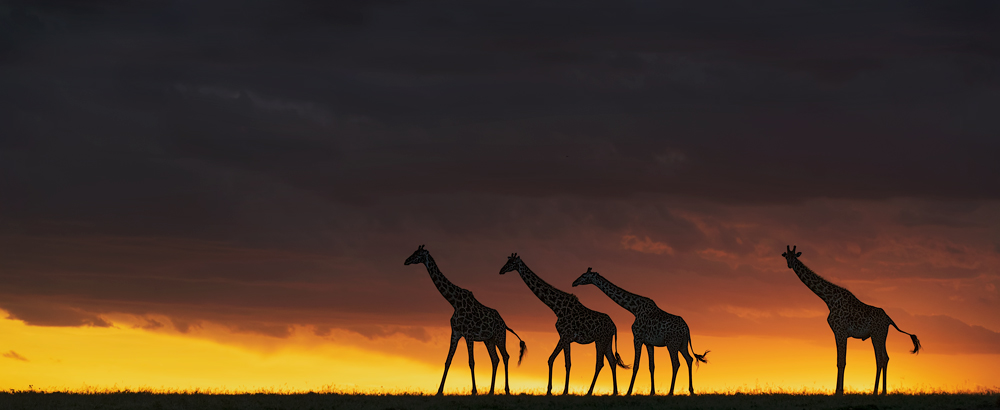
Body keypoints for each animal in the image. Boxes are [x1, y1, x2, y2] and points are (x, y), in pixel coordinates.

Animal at [404, 245, 527, 396]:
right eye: (414, 252)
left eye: (419, 254)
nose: (406, 261)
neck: (454, 302)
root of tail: (505, 324)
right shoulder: (455, 333)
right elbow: (448, 361)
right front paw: (439, 391)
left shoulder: (468, 334)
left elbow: (471, 361)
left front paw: (474, 390)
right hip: (489, 340)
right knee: (495, 359)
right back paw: (491, 391)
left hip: (499, 336)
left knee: (505, 356)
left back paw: (507, 390)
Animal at [499, 253, 629, 396]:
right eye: (507, 261)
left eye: (512, 263)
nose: (501, 271)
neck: (557, 308)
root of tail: (614, 326)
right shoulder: (565, 337)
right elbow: (559, 361)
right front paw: (555, 390)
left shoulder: (565, 336)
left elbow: (560, 361)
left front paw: (559, 390)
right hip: (607, 341)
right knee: (612, 361)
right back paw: (615, 392)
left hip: (601, 340)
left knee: (600, 363)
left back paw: (590, 392)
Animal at [572, 267, 709, 396]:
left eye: (584, 276)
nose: (574, 282)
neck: (634, 309)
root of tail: (687, 329)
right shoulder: (649, 343)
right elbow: (651, 366)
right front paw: (652, 391)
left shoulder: (637, 338)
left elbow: (636, 365)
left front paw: (628, 391)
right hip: (682, 344)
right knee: (689, 359)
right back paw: (691, 390)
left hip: (672, 344)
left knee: (676, 363)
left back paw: (671, 392)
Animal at [782, 245, 921, 395]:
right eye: (786, 256)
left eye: (794, 256)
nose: (790, 265)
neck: (829, 299)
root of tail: (889, 319)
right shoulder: (840, 333)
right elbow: (840, 360)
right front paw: (839, 390)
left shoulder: (840, 331)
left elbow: (841, 361)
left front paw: (839, 391)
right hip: (882, 335)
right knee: (886, 357)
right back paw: (883, 391)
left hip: (876, 335)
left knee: (880, 358)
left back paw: (875, 391)